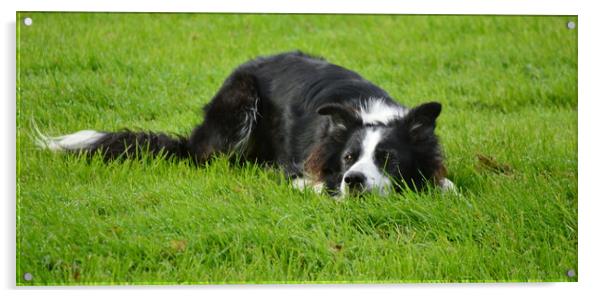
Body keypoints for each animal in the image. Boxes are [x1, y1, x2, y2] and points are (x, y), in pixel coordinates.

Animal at [35, 51, 452, 196]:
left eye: (389, 160)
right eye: (348, 158)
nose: (354, 181)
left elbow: (446, 184)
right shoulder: (303, 167)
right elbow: (314, 184)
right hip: (240, 101)